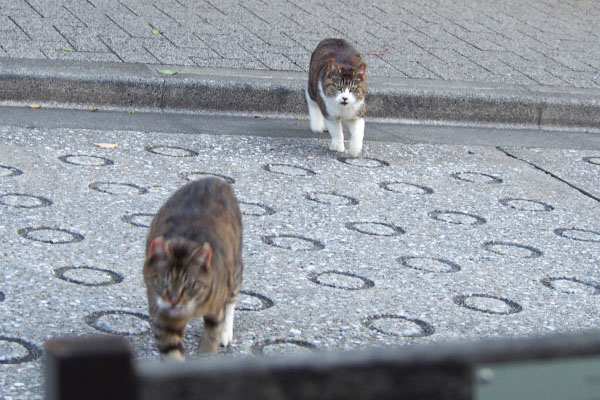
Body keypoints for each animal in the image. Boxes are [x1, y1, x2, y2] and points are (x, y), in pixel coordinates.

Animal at [142, 178, 243, 360]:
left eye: (190, 285)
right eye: (162, 282)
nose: (174, 300)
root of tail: (214, 179)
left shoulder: (215, 309)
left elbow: (210, 340)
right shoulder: (163, 316)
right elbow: (172, 350)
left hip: (235, 268)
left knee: (232, 299)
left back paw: (226, 332)